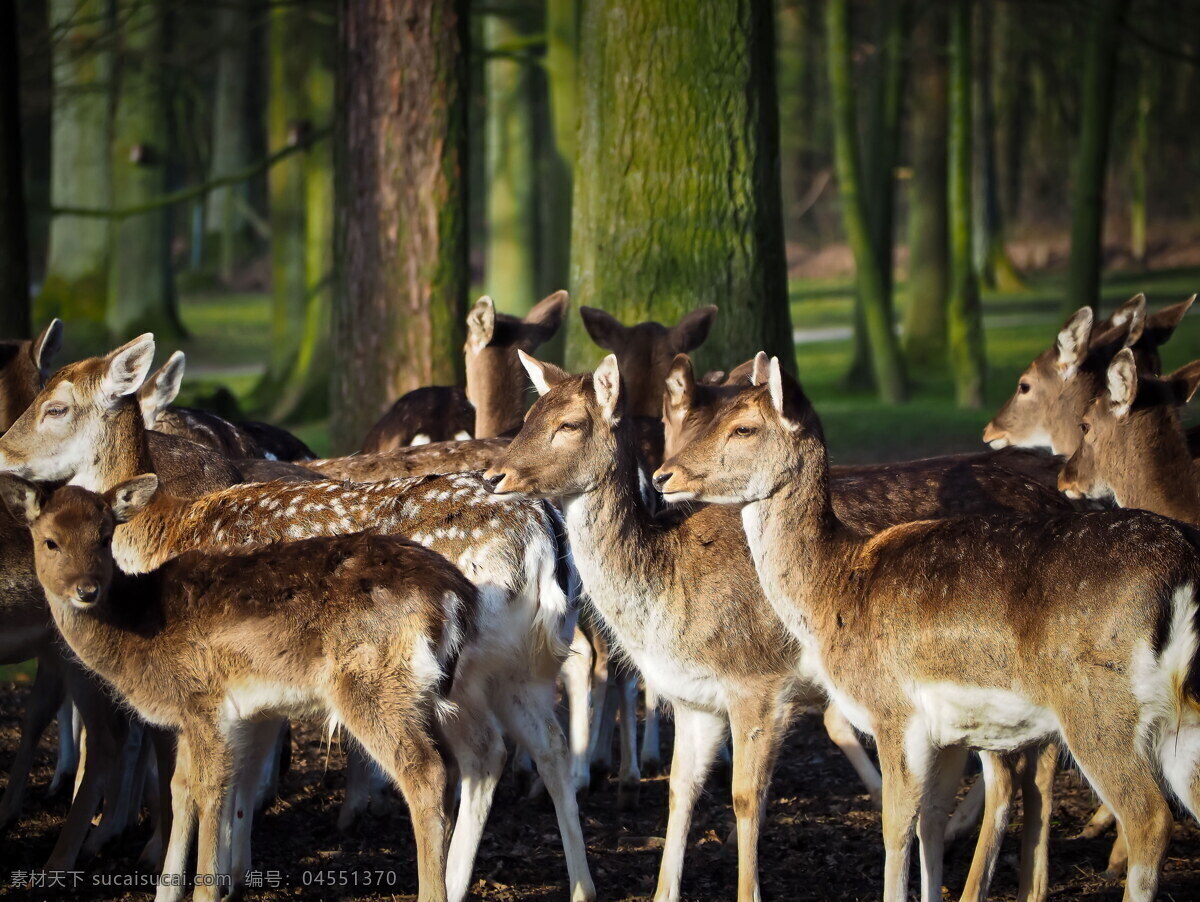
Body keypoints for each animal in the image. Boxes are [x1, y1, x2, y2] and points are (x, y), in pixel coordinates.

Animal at [1, 474, 474, 902]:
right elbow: (180, 787)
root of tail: (455, 596)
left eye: (104, 538)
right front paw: (167, 891)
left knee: (424, 771)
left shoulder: (205, 699)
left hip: (373, 685)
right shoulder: (189, 717)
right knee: (455, 766)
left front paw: (207, 890)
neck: (139, 634)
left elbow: (211, 787)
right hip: (428, 696)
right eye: (50, 541)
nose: (86, 590)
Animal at [482, 351, 889, 902]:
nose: (492, 475)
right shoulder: (697, 698)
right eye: (528, 418)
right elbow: (679, 790)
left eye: (569, 424)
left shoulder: (758, 683)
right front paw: (663, 890)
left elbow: (746, 795)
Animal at [653, 354, 1200, 902]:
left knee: (1151, 818)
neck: (834, 585)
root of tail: (1184, 568)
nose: (663, 475)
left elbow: (896, 825)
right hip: (1179, 717)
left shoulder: (894, 710)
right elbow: (927, 821)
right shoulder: (946, 731)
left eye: (743, 427)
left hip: (1098, 709)